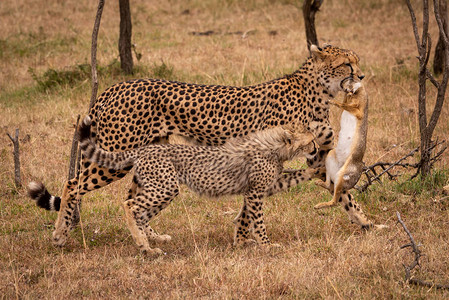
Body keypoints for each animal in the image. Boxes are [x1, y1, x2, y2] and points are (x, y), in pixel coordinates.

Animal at [28, 43, 372, 247]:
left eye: (357, 61)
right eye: (346, 64)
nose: (363, 75)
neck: (318, 91)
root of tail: (115, 87)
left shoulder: (308, 158)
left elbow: (342, 193)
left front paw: (367, 224)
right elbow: (253, 205)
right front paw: (246, 239)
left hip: (149, 156)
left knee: (132, 198)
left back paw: (152, 237)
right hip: (116, 154)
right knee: (73, 184)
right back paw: (60, 234)